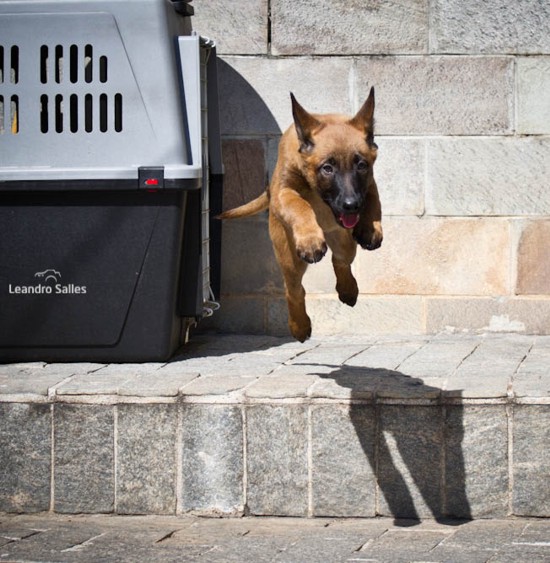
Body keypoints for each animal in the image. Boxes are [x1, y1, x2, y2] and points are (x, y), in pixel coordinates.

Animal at [219, 87, 383, 342]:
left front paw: (370, 227)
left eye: (361, 165)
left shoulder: (369, 184)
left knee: (340, 260)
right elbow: (300, 205)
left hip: (344, 243)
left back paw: (347, 289)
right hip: (289, 257)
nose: (352, 205)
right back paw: (299, 326)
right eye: (328, 168)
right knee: (294, 289)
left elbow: (374, 201)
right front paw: (310, 239)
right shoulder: (283, 193)